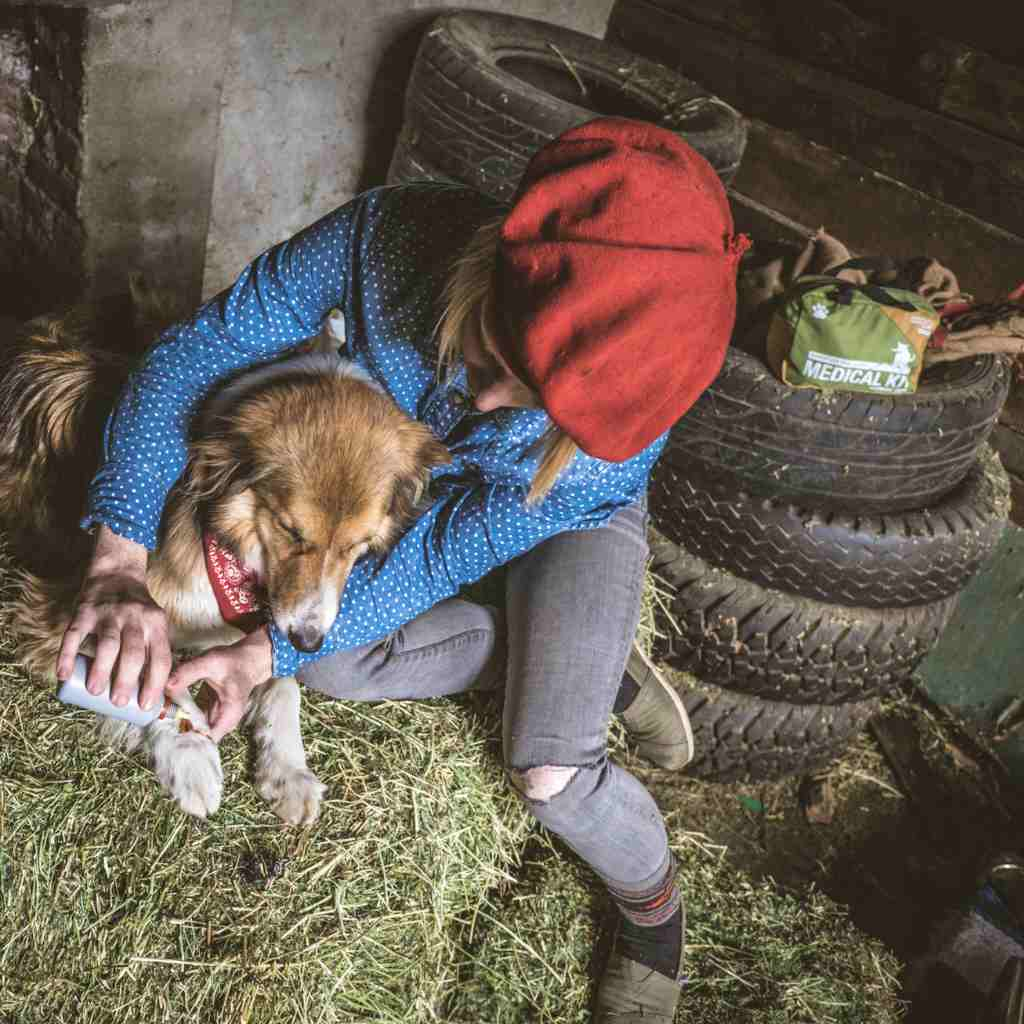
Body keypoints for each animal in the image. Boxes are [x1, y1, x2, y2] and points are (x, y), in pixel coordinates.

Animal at [1, 282, 448, 823]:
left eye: (357, 546)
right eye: (290, 529)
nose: (310, 643)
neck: (231, 545)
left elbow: (280, 681)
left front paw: (289, 771)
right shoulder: (58, 612)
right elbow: (153, 677)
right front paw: (192, 757)